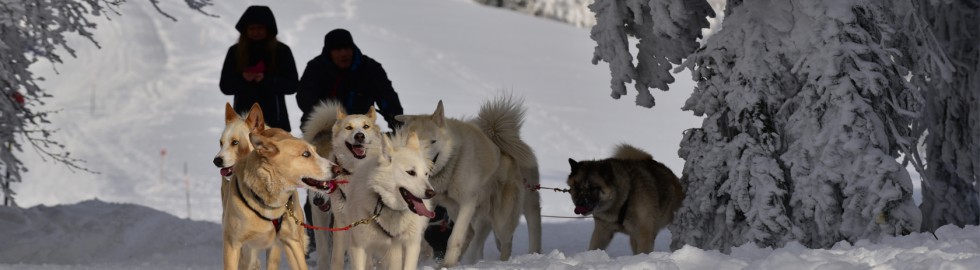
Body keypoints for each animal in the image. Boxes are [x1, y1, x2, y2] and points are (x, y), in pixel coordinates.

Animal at [394, 96, 540, 266]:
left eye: (433, 141)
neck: (450, 165)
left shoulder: (467, 203)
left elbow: (454, 238)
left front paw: (446, 265)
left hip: (501, 220)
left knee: (505, 242)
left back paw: (501, 263)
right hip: (454, 209)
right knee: (471, 233)